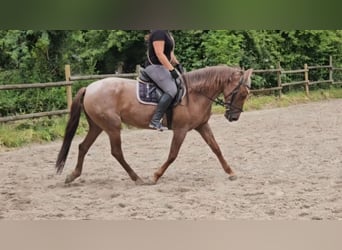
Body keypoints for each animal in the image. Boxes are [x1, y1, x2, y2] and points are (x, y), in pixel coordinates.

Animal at [56, 65, 252, 185]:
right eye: (243, 93)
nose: (234, 117)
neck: (196, 93)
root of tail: (89, 88)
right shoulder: (181, 130)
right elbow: (173, 154)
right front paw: (155, 176)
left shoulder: (202, 126)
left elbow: (216, 148)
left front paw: (231, 172)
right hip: (112, 127)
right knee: (116, 152)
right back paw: (137, 178)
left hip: (98, 126)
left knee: (83, 147)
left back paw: (73, 175)